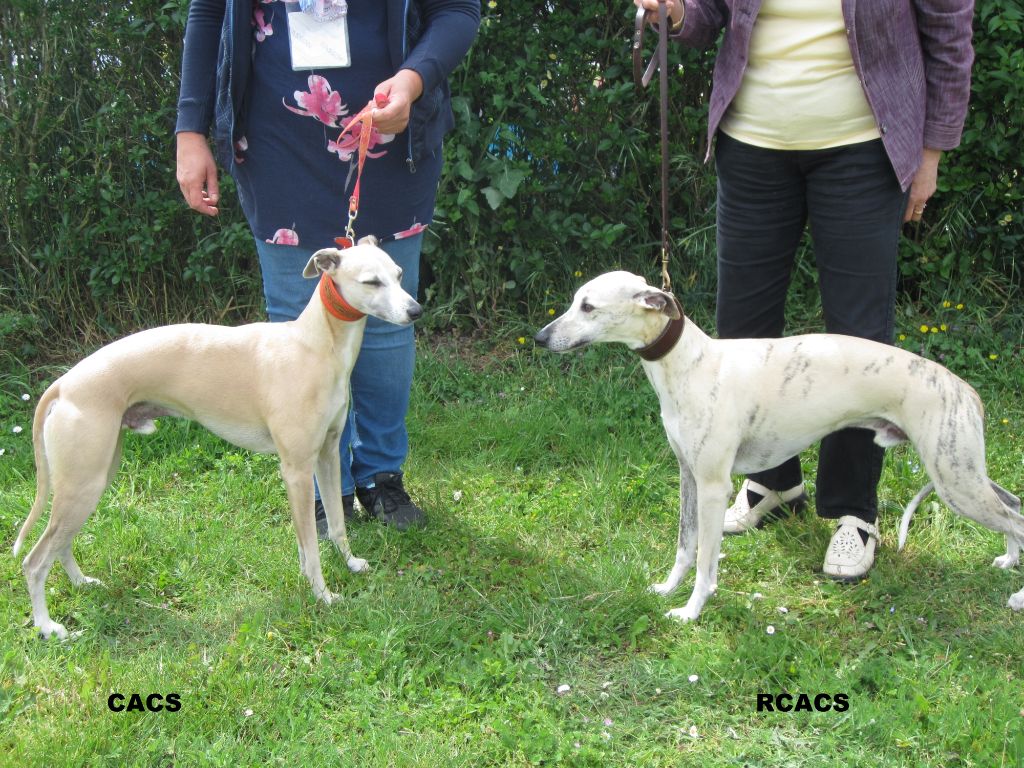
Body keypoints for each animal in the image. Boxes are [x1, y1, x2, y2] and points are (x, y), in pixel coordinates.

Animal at [12, 237, 419, 638]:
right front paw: (323, 595)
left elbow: (335, 524)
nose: (415, 311)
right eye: (371, 282)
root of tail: (64, 385)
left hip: (93, 477)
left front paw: (350, 564)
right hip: (83, 483)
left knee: (60, 544)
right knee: (35, 560)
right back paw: (47, 626)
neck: (315, 345)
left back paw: (82, 584)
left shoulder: (328, 454)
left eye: (400, 274)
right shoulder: (297, 470)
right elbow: (311, 546)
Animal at [536, 274, 1024, 622]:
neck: (692, 364)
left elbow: (705, 561)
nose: (540, 338)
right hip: (962, 474)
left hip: (955, 480)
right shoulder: (688, 476)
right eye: (575, 301)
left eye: (588, 306)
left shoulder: (712, 485)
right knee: (1014, 508)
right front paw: (666, 589)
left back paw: (1018, 596)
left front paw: (690, 611)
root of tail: (965, 390)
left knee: (1016, 519)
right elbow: (684, 545)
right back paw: (1007, 561)